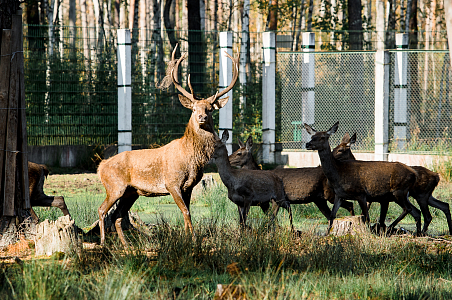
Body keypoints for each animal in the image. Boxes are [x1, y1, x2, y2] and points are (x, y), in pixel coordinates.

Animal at [97, 49, 240, 246]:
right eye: (194, 109)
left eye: (210, 109)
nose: (202, 117)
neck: (191, 159)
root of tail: (100, 167)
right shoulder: (172, 183)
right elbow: (186, 212)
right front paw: (193, 239)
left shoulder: (189, 186)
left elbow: (188, 213)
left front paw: (187, 238)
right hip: (114, 186)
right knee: (102, 210)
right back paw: (103, 242)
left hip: (131, 192)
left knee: (118, 216)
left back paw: (126, 246)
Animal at [228, 136, 358, 223]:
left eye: (239, 153)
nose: (228, 159)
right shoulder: (265, 203)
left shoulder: (276, 200)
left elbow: (272, 219)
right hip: (319, 199)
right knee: (331, 215)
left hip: (331, 194)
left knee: (350, 205)